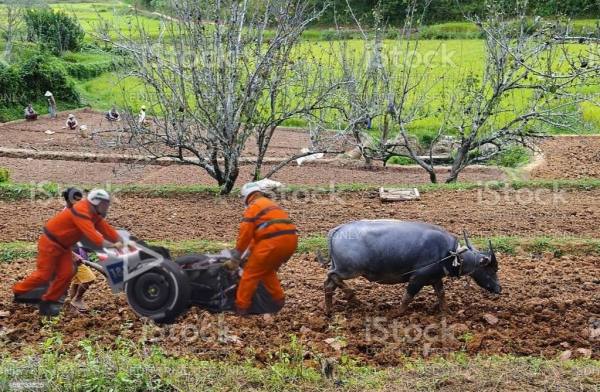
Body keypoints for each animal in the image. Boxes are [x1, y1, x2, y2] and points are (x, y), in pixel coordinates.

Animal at [318, 220, 502, 316]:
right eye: (491, 269)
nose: (499, 289)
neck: (450, 254)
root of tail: (337, 229)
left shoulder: (435, 278)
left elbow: (441, 295)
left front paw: (446, 311)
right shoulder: (418, 278)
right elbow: (408, 296)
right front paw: (397, 313)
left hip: (342, 268)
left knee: (329, 284)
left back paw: (329, 310)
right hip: (349, 270)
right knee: (332, 275)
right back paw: (354, 297)